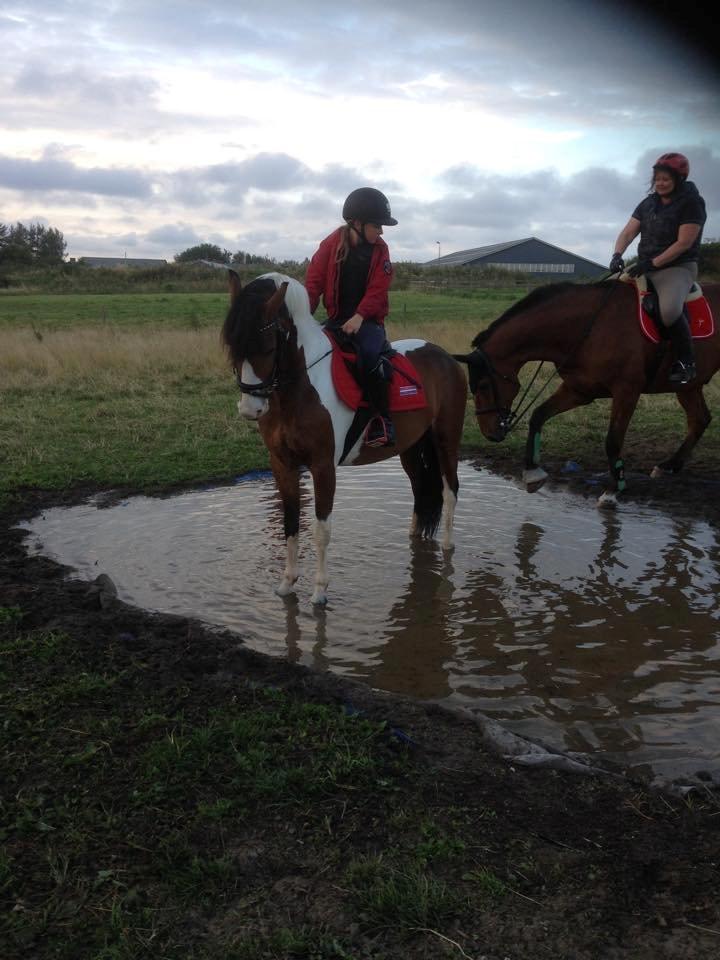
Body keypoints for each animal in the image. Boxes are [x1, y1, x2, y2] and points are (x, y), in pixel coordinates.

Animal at [222, 270, 466, 604]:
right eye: (233, 347)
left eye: (269, 348)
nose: (250, 409)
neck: (299, 390)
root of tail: (445, 357)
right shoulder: (282, 465)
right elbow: (290, 523)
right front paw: (287, 583)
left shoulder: (323, 466)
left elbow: (320, 529)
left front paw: (319, 591)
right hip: (411, 447)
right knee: (420, 489)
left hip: (446, 439)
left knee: (450, 489)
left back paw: (447, 547)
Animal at [456, 280, 720, 510]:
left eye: (483, 386)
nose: (489, 434)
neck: (587, 327)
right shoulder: (579, 390)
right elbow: (538, 416)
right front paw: (532, 473)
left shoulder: (626, 391)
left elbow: (613, 441)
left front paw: (613, 490)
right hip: (688, 386)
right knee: (700, 419)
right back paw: (669, 466)